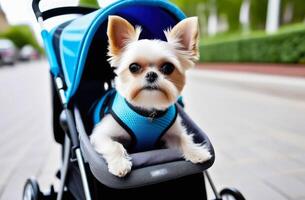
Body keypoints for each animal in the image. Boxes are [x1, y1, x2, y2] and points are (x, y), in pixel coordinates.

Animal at [89, 16, 210, 178]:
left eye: (168, 67)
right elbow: (115, 145)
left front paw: (197, 152)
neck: (148, 109)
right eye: (133, 67)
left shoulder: (174, 134)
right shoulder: (100, 135)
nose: (151, 74)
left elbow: (184, 138)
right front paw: (120, 164)